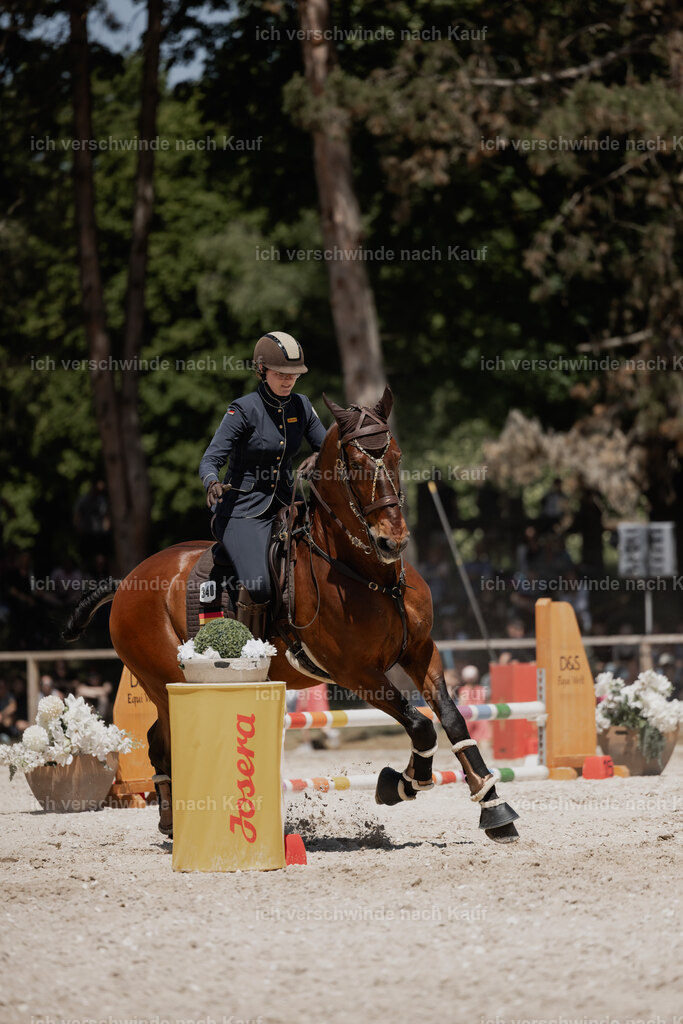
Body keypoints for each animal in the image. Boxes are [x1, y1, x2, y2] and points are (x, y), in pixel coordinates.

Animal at [63, 387, 519, 843]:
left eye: (397, 456)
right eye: (355, 464)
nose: (392, 541)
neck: (373, 576)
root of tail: (128, 581)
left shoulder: (421, 651)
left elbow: (452, 720)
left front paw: (494, 810)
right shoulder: (355, 672)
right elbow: (420, 725)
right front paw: (399, 783)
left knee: (159, 740)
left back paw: (171, 821)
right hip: (164, 680)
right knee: (164, 742)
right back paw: (178, 820)